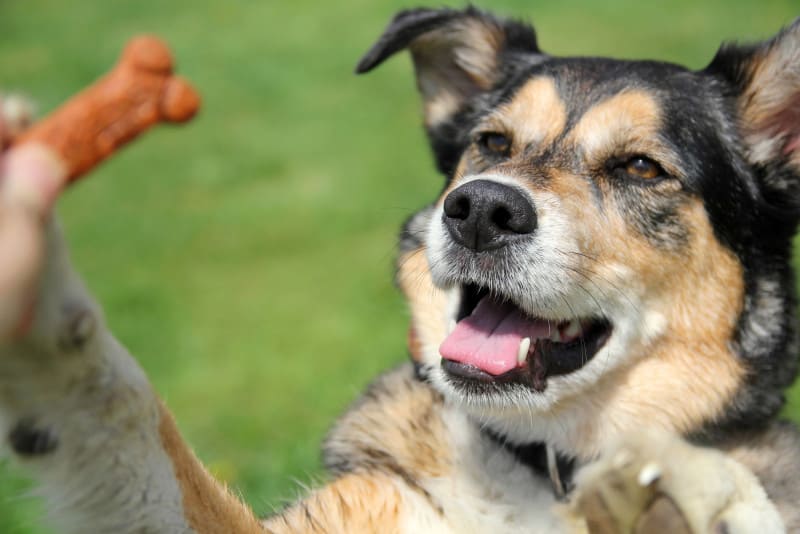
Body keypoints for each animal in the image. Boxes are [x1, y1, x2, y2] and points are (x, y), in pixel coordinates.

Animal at [1, 5, 800, 534]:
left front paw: (690, 492)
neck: (546, 464)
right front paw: (40, 298)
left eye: (640, 167)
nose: (481, 210)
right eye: (492, 142)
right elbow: (131, 418)